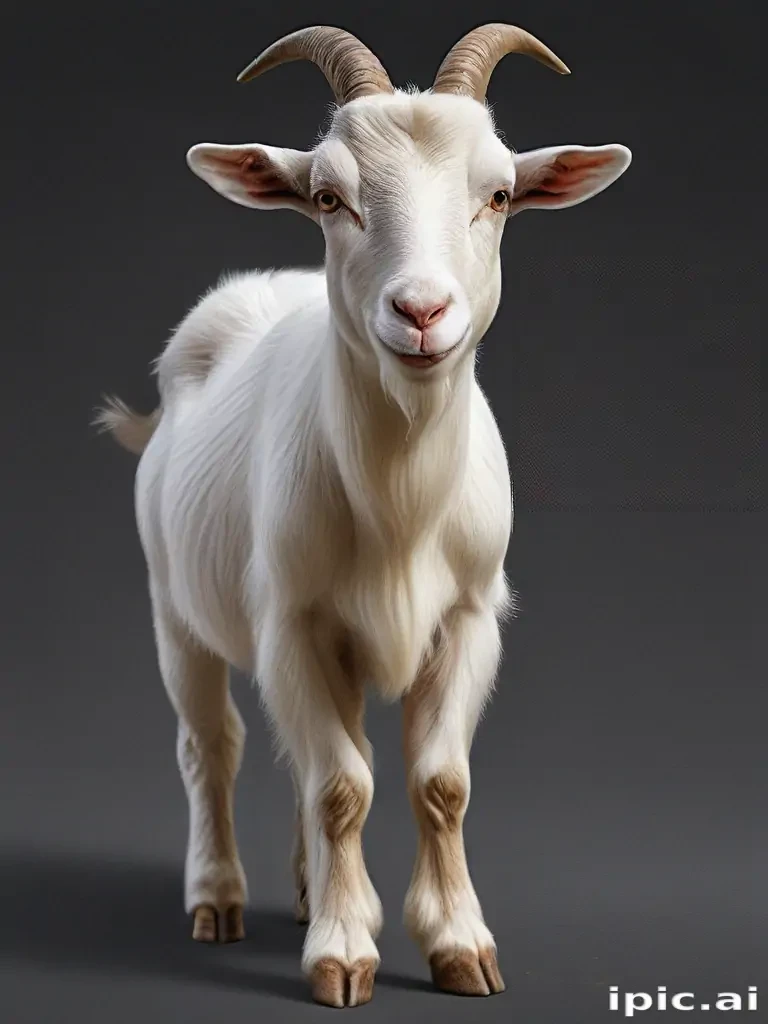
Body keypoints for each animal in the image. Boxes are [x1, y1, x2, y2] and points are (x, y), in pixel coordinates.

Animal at [97, 24, 631, 1007]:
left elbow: (436, 782)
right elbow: (342, 785)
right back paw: (218, 899)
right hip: (174, 606)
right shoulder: (293, 621)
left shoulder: (468, 618)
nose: (421, 310)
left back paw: (310, 892)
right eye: (328, 195)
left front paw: (459, 945)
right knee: (213, 747)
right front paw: (344, 956)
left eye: (500, 193)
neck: (399, 505)